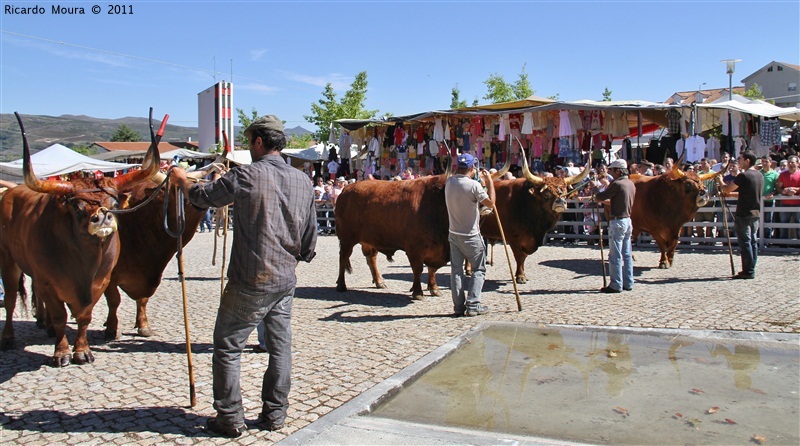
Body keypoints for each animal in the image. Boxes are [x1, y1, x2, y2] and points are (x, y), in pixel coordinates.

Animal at [0, 111, 162, 366]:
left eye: (113, 202)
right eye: (77, 206)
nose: (103, 217)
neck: (84, 264)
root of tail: (11, 191)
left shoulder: (101, 281)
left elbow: (85, 315)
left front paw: (82, 350)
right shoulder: (49, 281)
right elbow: (60, 315)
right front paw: (62, 352)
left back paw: (44, 325)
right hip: (8, 261)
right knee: (10, 300)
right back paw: (8, 338)